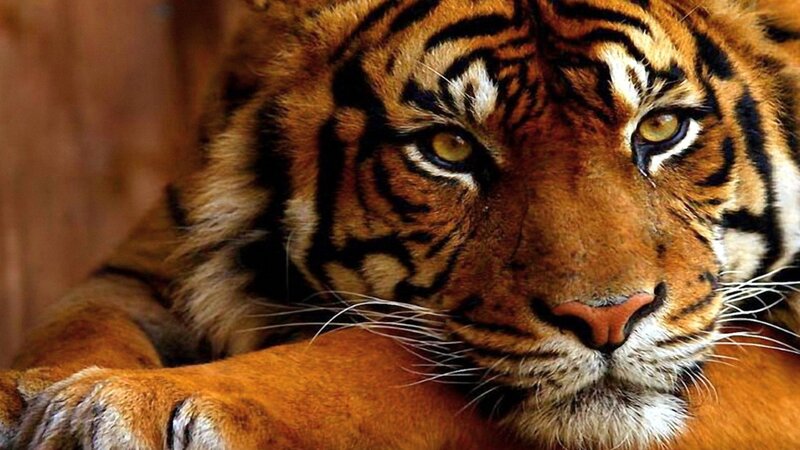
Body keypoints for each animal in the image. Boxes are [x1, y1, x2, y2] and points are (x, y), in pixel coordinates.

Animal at [1, 0, 799, 448]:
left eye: (661, 128)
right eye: (449, 148)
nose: (608, 318)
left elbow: (373, 357)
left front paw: (131, 407)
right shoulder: (146, 267)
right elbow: (76, 331)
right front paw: (29, 400)